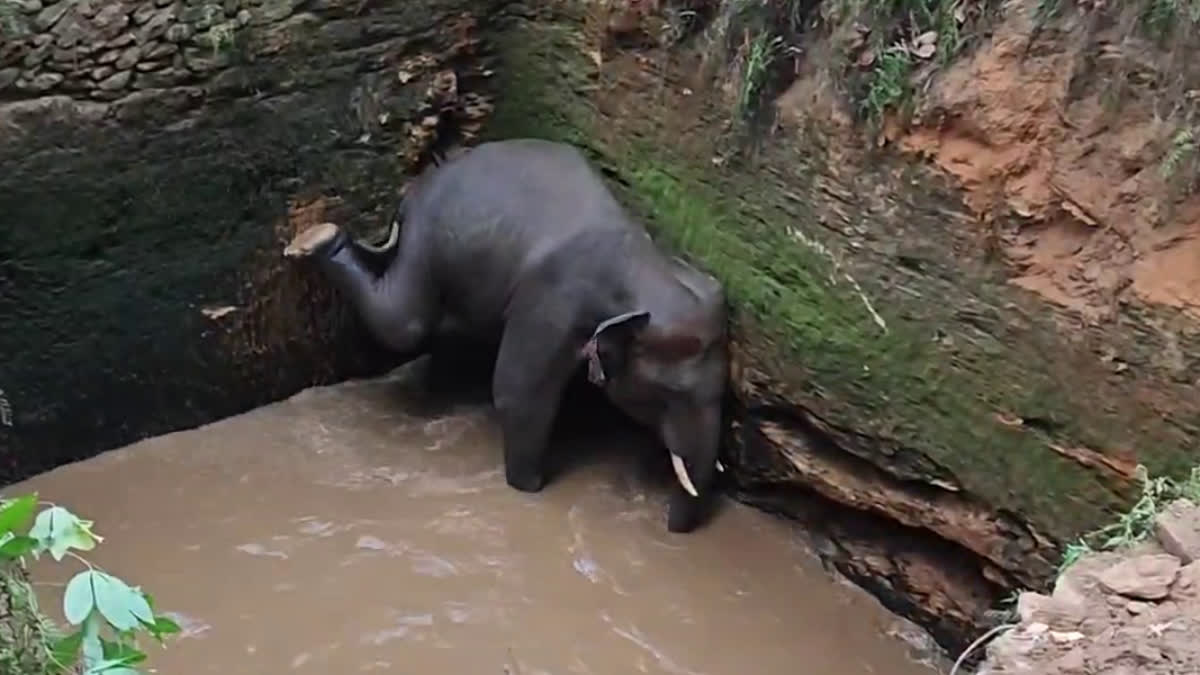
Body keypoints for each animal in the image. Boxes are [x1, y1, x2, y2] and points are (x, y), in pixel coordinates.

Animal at [283, 136, 729, 530]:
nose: (669, 526)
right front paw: (529, 488)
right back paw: (316, 240)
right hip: (426, 247)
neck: (646, 272)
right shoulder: (549, 305)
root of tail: (416, 190)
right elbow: (520, 393)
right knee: (405, 323)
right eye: (669, 395)